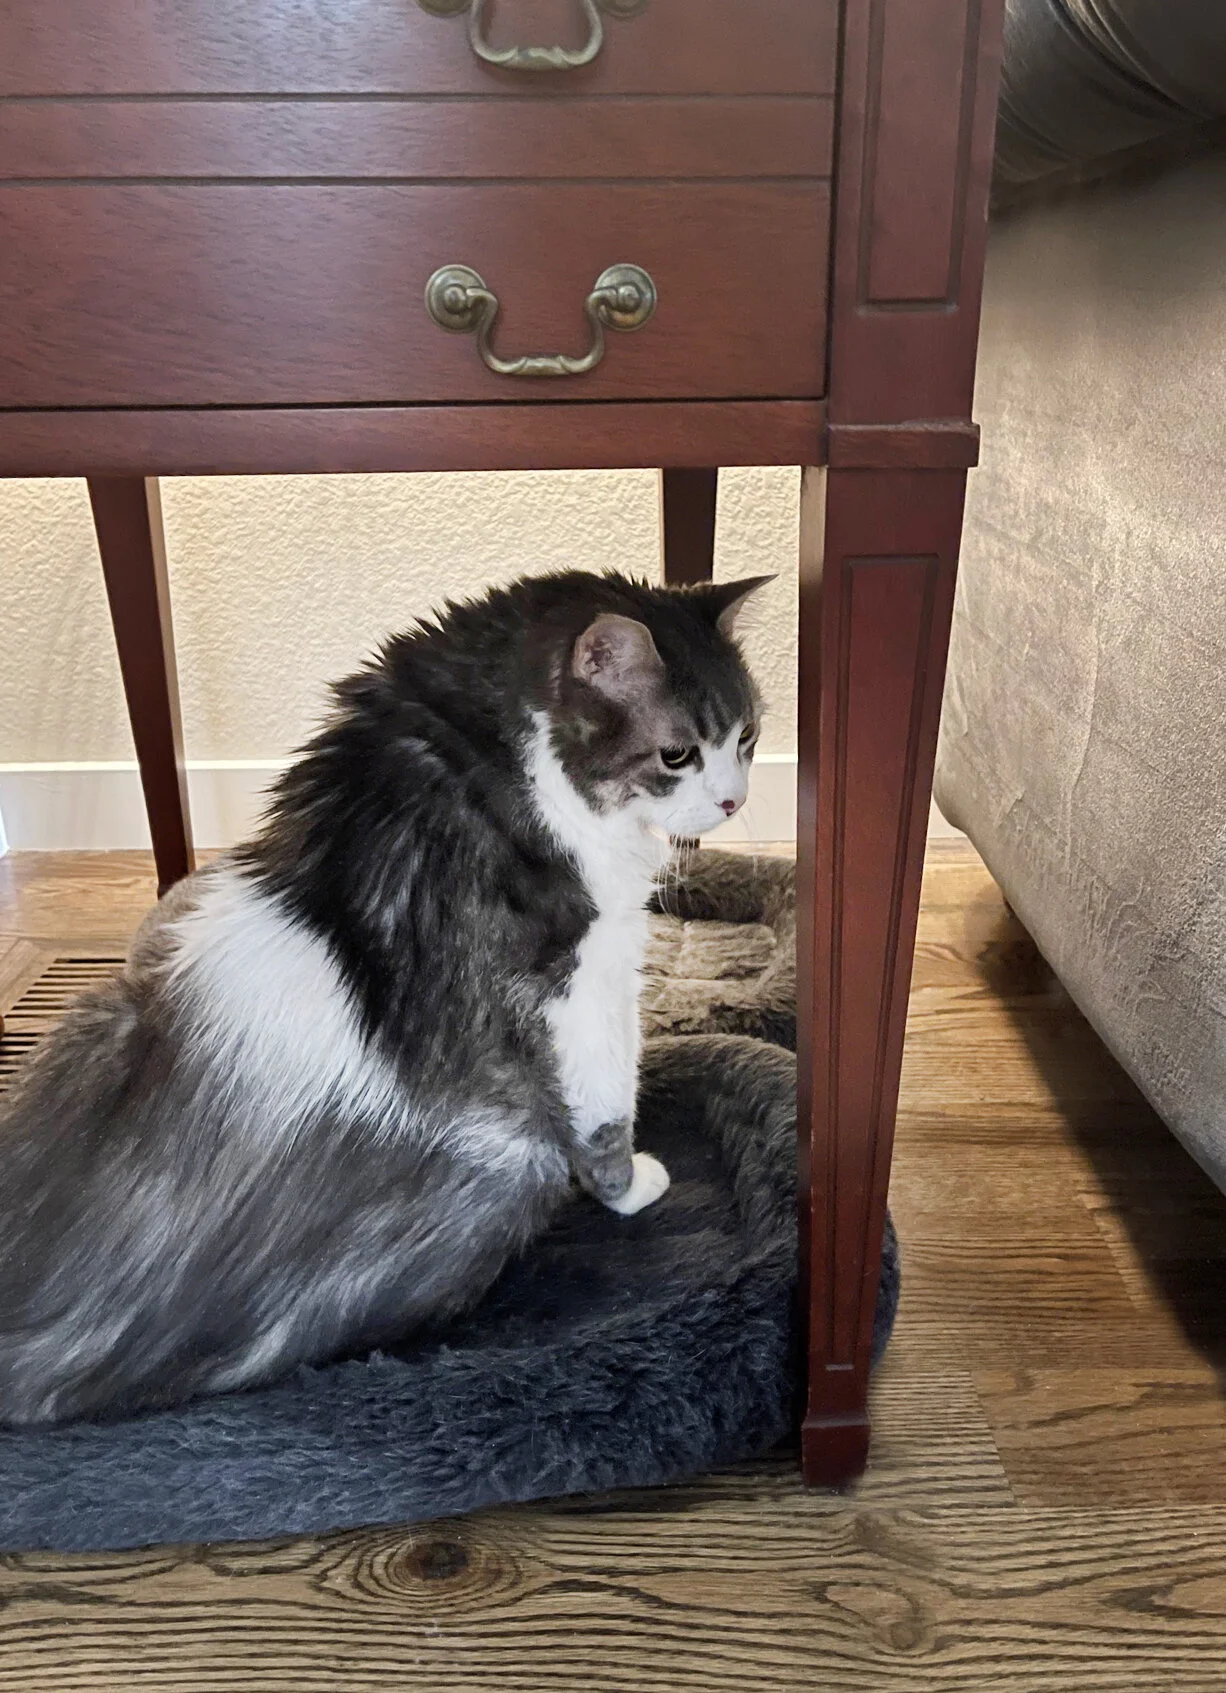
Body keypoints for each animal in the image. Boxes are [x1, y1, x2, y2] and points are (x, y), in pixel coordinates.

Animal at [0, 568, 768, 1425]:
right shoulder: (587, 973)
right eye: (678, 753)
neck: (500, 738)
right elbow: (606, 1099)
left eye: (748, 736)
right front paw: (633, 1185)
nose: (734, 801)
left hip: (128, 969)